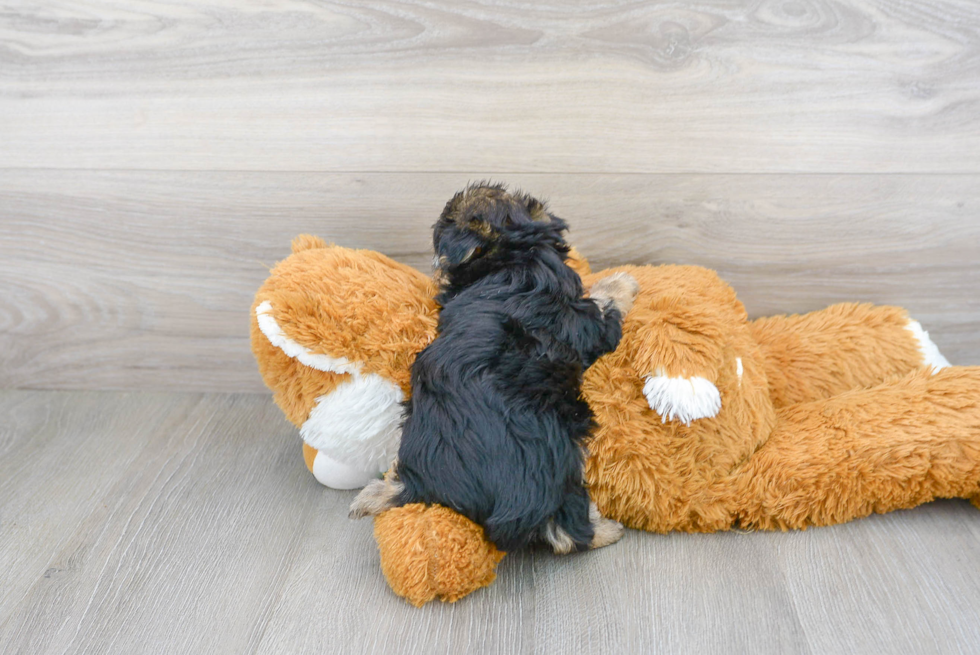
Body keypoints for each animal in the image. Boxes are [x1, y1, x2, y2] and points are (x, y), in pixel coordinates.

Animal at [350, 183, 636, 552]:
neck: (512, 255)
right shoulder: (584, 323)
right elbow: (604, 304)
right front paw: (623, 282)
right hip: (560, 458)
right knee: (566, 531)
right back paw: (606, 530)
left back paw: (378, 490)